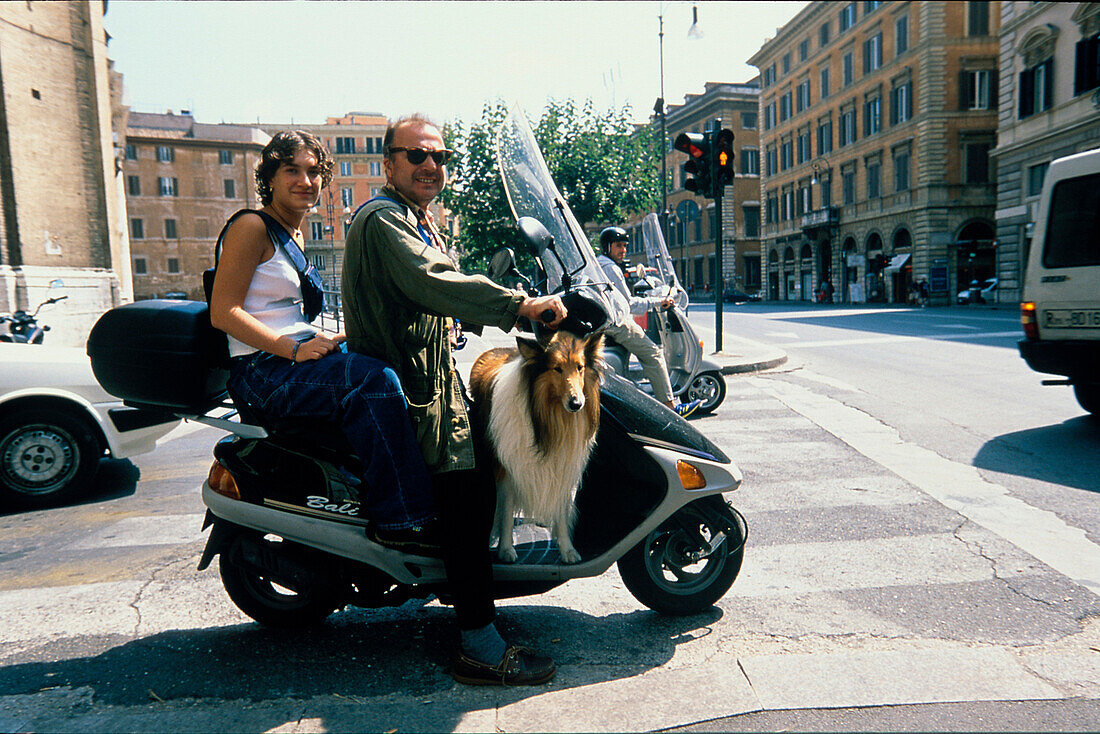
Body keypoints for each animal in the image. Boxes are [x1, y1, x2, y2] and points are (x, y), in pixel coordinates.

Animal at [468, 332, 607, 563]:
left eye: (580, 367)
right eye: (557, 368)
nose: (576, 404)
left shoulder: (564, 467)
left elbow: (561, 511)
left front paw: (567, 549)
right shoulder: (507, 469)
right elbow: (506, 511)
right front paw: (506, 548)